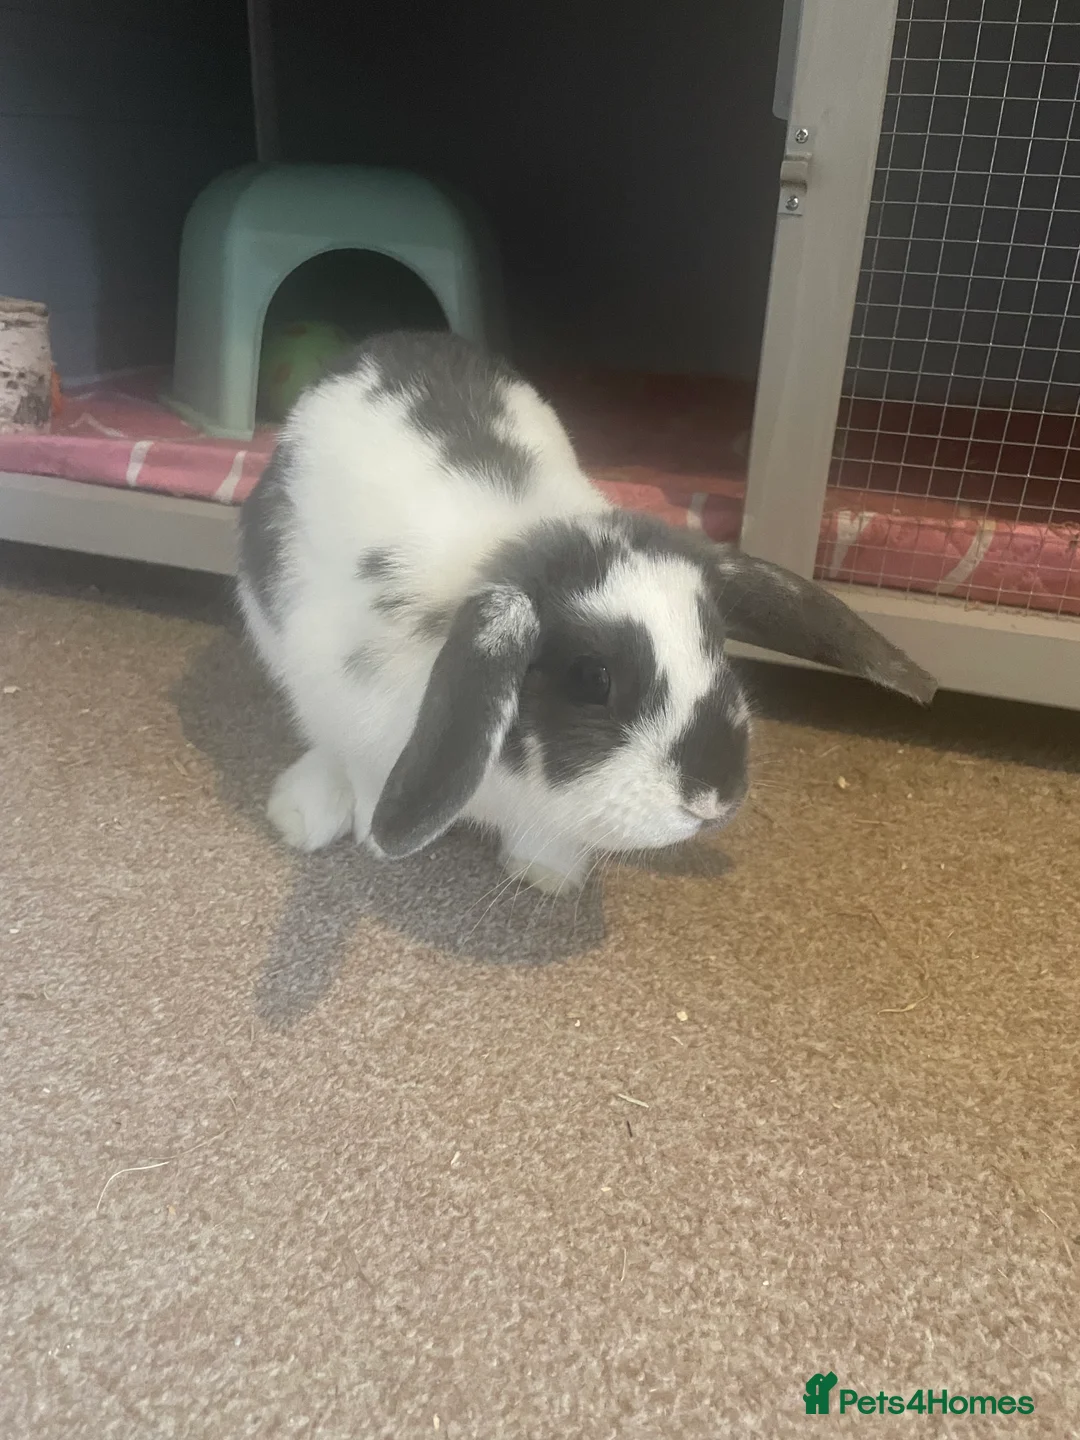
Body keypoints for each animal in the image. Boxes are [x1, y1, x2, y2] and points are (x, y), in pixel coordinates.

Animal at [237, 330, 935, 894]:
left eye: (716, 645)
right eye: (591, 679)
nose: (714, 800)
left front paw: (548, 874)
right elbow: (355, 763)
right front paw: (360, 827)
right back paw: (301, 813)